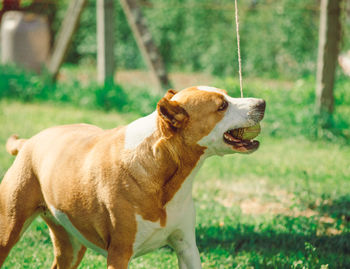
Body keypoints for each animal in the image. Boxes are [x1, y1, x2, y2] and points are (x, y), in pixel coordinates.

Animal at [0, 86, 266, 268]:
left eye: (228, 95)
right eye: (222, 106)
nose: (262, 102)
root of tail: (28, 143)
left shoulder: (187, 246)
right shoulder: (119, 254)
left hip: (70, 243)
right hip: (9, 228)